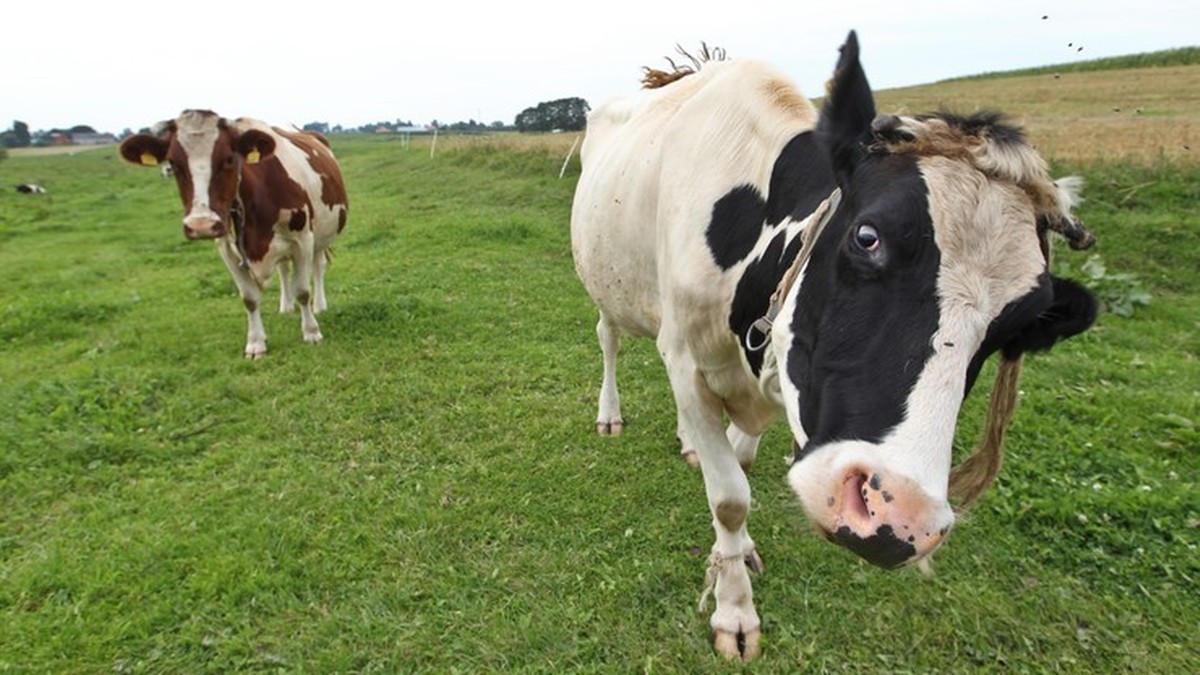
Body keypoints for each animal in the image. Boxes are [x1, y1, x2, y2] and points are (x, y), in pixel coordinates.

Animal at [118, 111, 350, 357]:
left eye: (229, 159)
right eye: (173, 163)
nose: (201, 224)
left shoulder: (303, 239)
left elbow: (303, 290)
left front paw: (312, 332)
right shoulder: (226, 248)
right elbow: (249, 298)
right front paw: (256, 343)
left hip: (322, 234)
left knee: (318, 266)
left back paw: (320, 305)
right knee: (283, 269)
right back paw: (286, 306)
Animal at [571, 31, 1099, 658]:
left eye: (1021, 321)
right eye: (867, 236)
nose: (899, 519)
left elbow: (739, 465)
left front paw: (736, 553)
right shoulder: (688, 360)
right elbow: (730, 498)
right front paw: (734, 611)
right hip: (605, 284)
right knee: (608, 338)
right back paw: (610, 414)